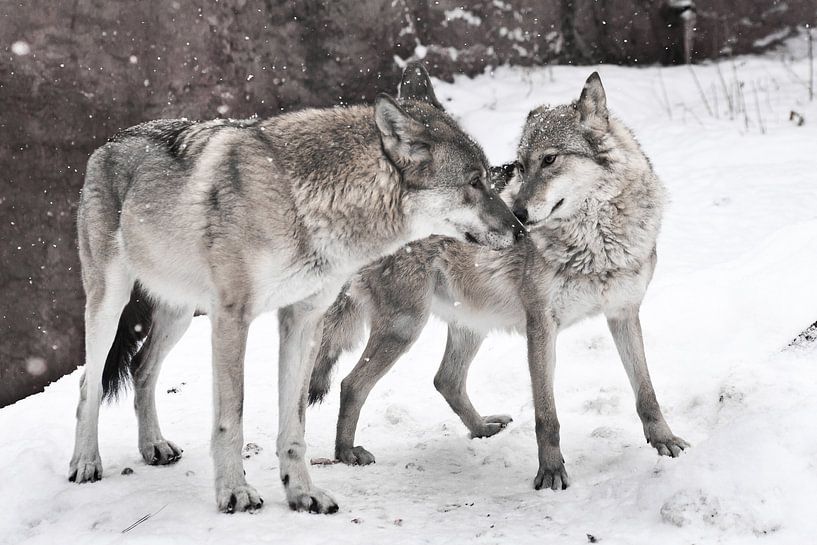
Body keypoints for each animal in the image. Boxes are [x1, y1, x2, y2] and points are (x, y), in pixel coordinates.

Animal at [69, 62, 523, 514]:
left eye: (489, 177)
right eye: (475, 182)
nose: (521, 230)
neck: (306, 202)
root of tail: (109, 142)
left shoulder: (304, 318)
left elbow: (295, 423)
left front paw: (303, 493)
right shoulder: (232, 318)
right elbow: (231, 417)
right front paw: (235, 492)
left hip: (181, 312)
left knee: (141, 367)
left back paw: (154, 446)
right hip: (110, 303)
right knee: (90, 382)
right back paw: (86, 462)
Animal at [309, 73, 689, 491]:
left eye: (550, 159)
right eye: (521, 166)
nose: (517, 217)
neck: (596, 243)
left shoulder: (624, 313)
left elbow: (646, 392)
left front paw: (664, 440)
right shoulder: (540, 325)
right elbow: (547, 416)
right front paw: (551, 472)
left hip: (469, 323)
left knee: (445, 380)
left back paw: (481, 430)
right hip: (406, 326)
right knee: (352, 384)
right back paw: (346, 454)